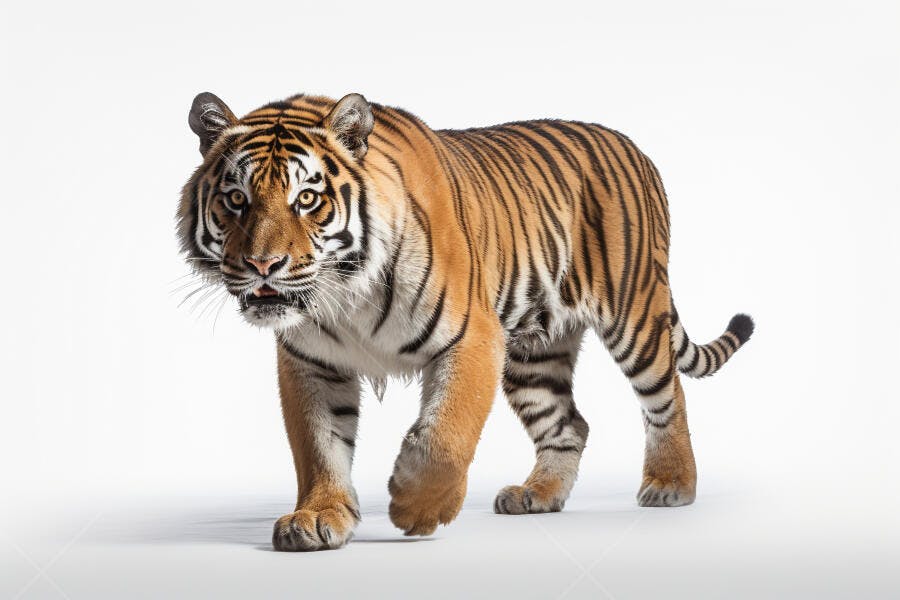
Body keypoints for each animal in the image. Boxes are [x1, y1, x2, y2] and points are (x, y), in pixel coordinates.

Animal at [178, 91, 754, 552]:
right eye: (236, 199)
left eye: (306, 199)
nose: (263, 265)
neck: (345, 293)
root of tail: (634, 146)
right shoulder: (310, 360)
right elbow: (318, 447)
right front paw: (318, 517)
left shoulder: (472, 336)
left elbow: (446, 437)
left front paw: (415, 509)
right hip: (534, 351)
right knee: (568, 422)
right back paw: (537, 494)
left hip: (633, 314)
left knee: (668, 396)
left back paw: (672, 484)